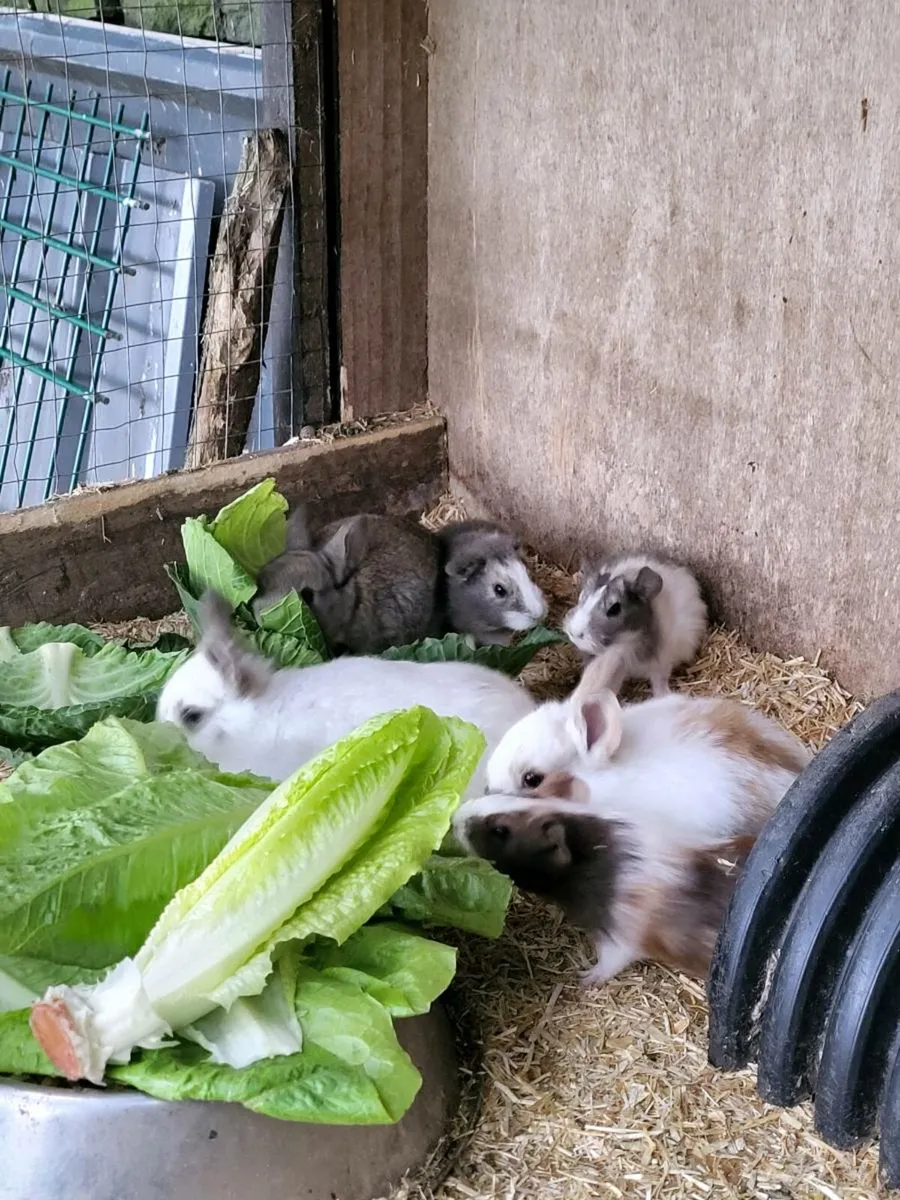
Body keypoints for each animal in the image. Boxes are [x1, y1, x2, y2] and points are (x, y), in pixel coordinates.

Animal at [563, 554, 707, 697]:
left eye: (614, 609)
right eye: (582, 596)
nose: (574, 633)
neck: (628, 639)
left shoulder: (662, 661)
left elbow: (659, 681)